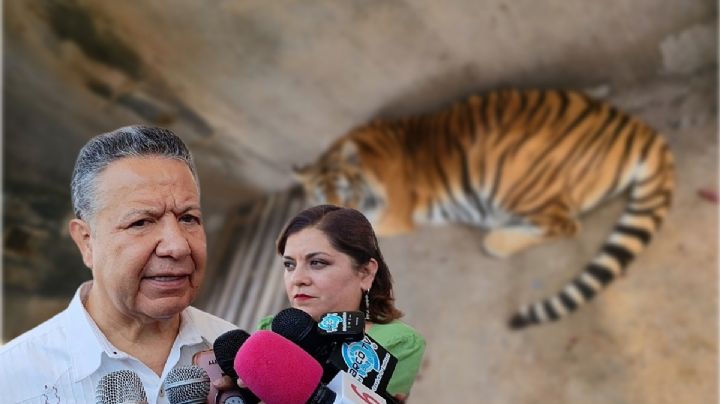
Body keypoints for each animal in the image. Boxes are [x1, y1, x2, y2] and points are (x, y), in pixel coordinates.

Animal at [292, 88, 675, 329]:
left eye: (346, 193)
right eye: (321, 193)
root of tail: (636, 127)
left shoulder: (392, 216)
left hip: (518, 178)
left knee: (562, 224)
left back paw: (496, 239)